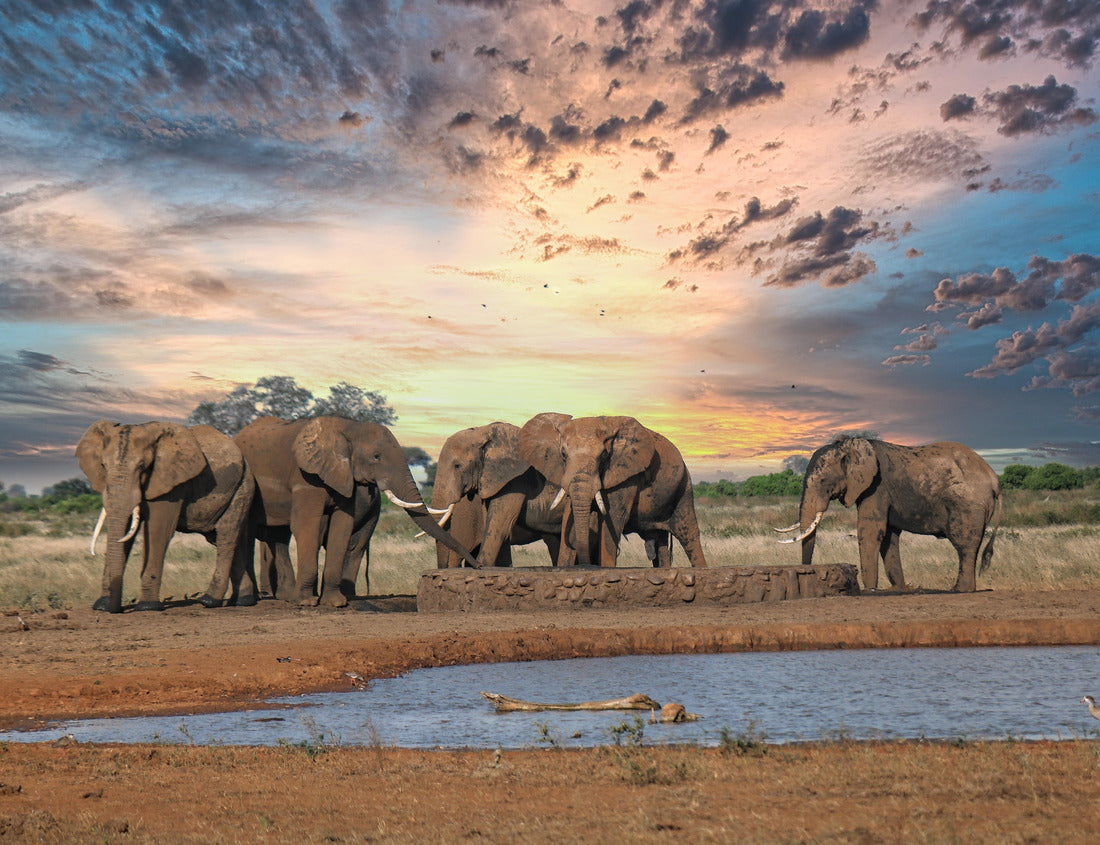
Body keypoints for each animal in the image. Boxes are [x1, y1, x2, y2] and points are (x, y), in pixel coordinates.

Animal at [76, 421, 256, 613]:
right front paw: (101, 605)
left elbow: (158, 531)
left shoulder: (171, 484)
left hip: (243, 487)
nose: (115, 609)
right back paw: (242, 600)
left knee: (226, 537)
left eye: (142, 466)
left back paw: (209, 601)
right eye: (103, 465)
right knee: (227, 539)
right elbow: (124, 533)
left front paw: (147, 606)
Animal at [234, 416, 477, 607]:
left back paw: (283, 596)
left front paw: (335, 603)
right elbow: (307, 524)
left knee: (278, 536)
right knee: (249, 534)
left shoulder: (343, 476)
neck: (349, 427)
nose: (477, 566)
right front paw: (306, 602)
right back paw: (253, 599)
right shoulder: (305, 478)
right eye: (376, 456)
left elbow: (343, 526)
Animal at [518, 413, 707, 569]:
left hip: (684, 486)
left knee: (689, 536)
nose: (585, 565)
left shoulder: (626, 474)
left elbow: (613, 519)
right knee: (660, 541)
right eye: (563, 454)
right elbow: (568, 516)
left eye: (603, 456)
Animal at [779, 437, 1002, 592]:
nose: (807, 573)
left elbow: (870, 531)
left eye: (824, 481)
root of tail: (994, 480)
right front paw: (899, 588)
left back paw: (960, 590)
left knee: (964, 546)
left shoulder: (877, 487)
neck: (851, 445)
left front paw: (870, 588)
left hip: (967, 504)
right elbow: (889, 537)